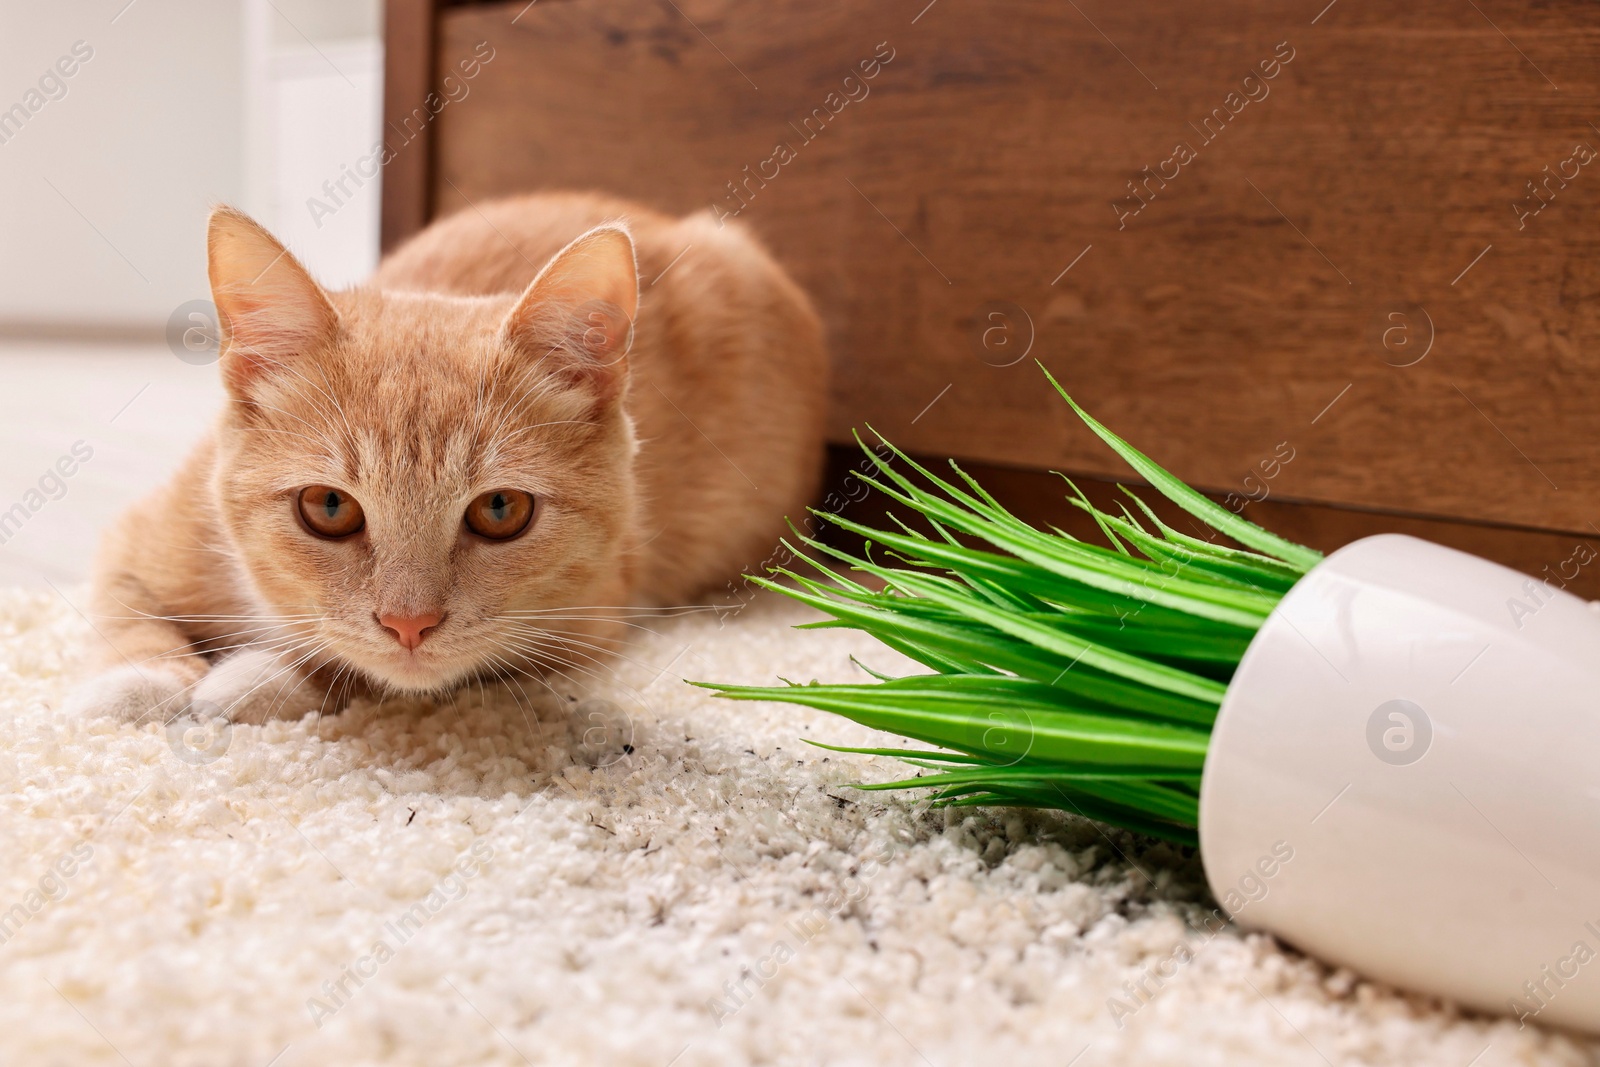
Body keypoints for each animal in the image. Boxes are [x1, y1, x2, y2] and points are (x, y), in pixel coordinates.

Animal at [67, 192, 825, 726]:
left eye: (501, 509)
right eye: (328, 506)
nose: (410, 625)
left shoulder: (590, 617)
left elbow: (366, 669)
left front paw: (258, 678)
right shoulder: (143, 532)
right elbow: (121, 604)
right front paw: (139, 681)